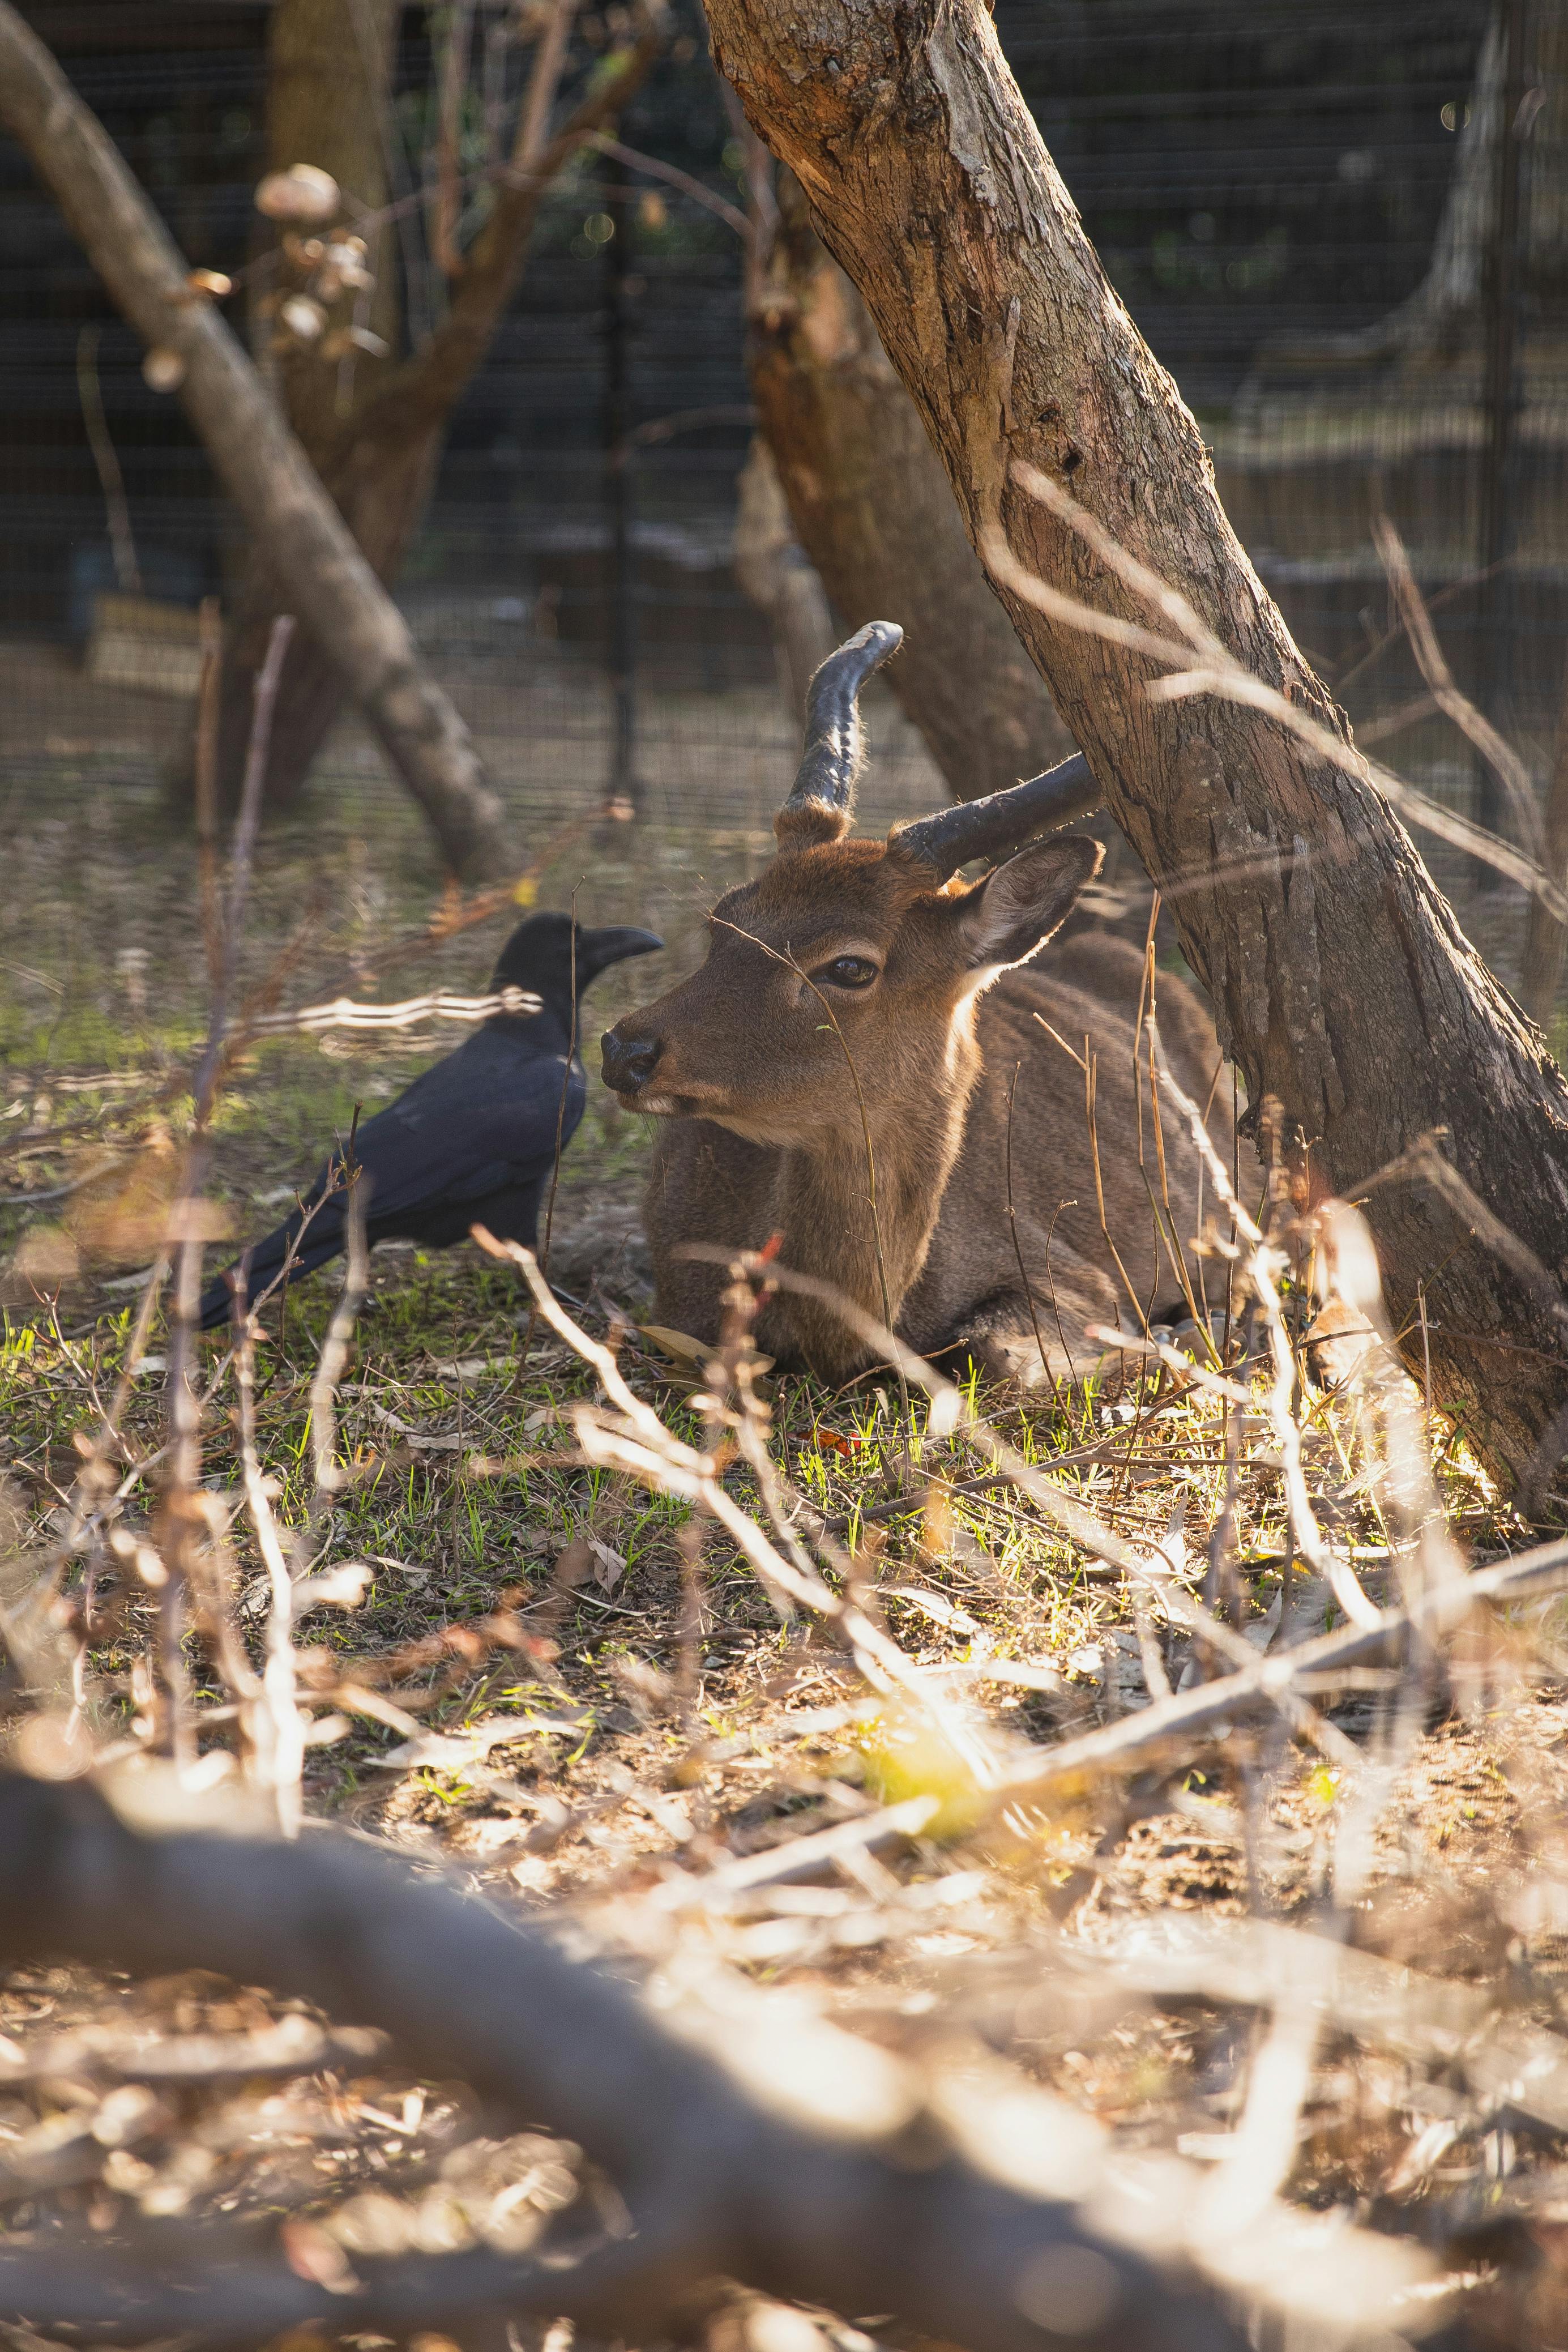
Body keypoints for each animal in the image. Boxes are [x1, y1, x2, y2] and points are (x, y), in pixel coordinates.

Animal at [601, 630, 1241, 1392]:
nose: (625, 1051)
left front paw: (1176, 1339)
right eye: (723, 918)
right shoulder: (677, 1301)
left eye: (850, 965)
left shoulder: (1074, 1274)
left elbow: (995, 1352)